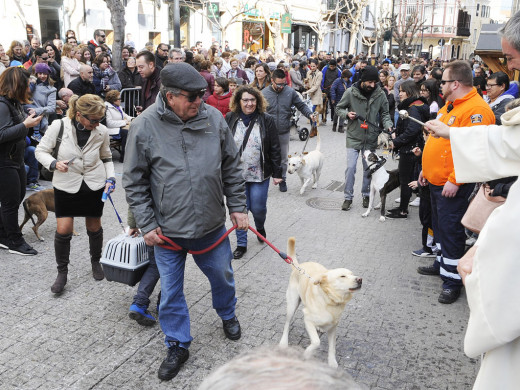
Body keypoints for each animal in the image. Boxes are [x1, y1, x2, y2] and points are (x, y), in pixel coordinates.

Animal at [280, 236, 362, 368]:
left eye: (352, 274)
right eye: (342, 276)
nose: (360, 279)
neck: (330, 301)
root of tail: (299, 266)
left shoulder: (333, 327)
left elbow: (332, 347)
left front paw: (332, 361)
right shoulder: (307, 319)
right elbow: (316, 342)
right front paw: (307, 353)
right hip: (292, 304)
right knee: (287, 323)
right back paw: (283, 342)